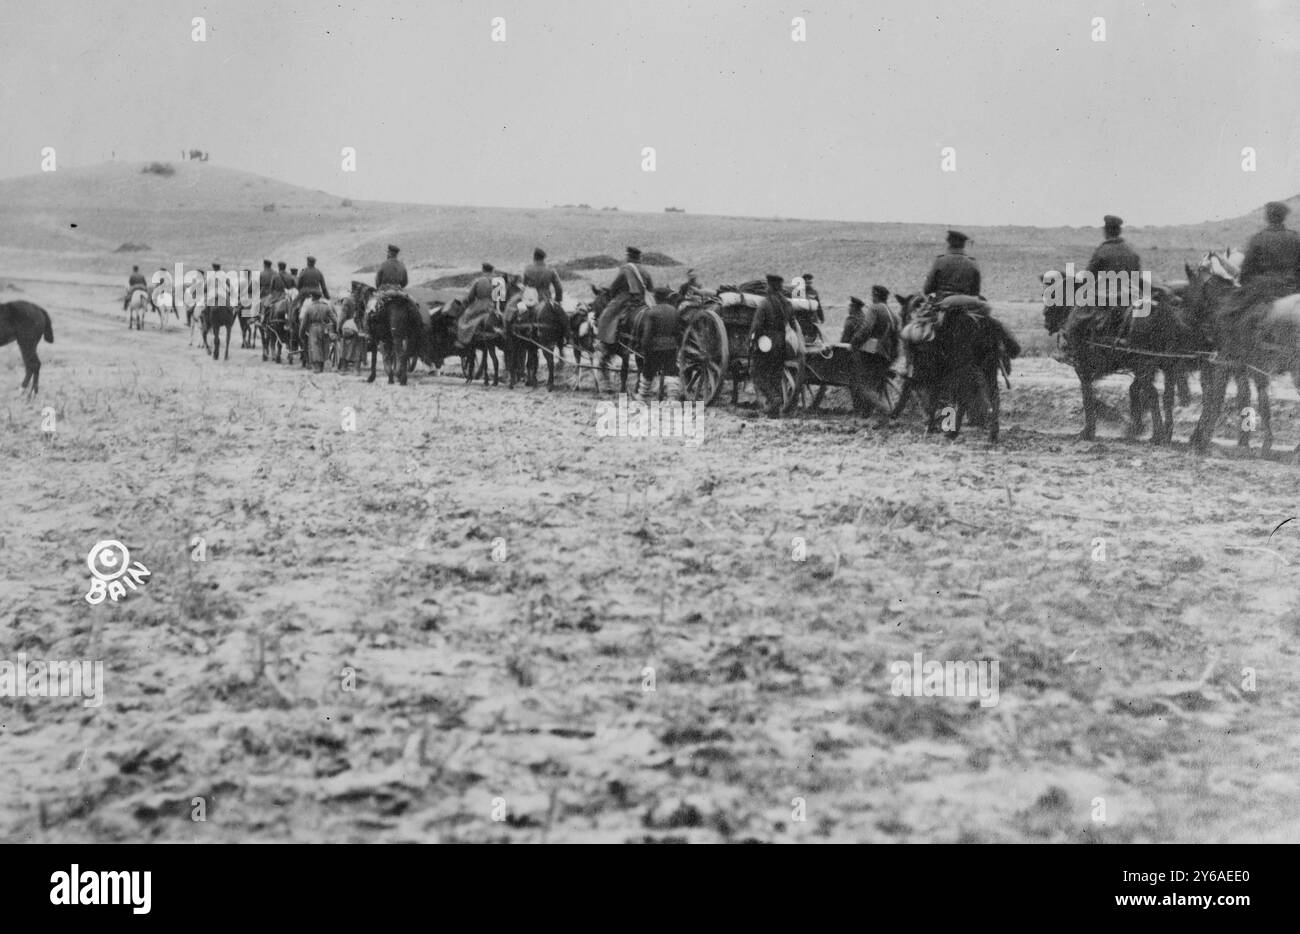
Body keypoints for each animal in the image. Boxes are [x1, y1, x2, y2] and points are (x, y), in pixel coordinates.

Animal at [1040, 270, 1201, 447]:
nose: (1045, 317)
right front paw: (1134, 426)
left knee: (1153, 394)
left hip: (1147, 365)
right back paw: (1166, 434)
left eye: (1053, 293)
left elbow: (1088, 396)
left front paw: (1089, 430)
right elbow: (1131, 390)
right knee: (1168, 397)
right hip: (1167, 366)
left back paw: (1157, 435)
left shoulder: (1082, 368)